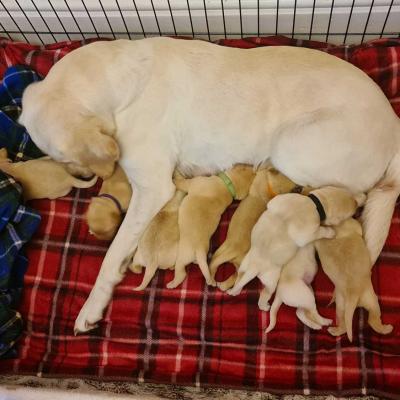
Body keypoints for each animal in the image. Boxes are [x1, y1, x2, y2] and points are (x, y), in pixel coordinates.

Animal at [227, 186, 364, 310]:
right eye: (348, 215)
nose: (356, 204)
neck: (314, 205)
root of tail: (254, 266)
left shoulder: (279, 200)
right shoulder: (307, 234)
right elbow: (320, 231)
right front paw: (330, 232)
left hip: (244, 266)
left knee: (240, 279)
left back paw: (235, 291)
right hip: (271, 280)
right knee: (264, 295)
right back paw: (265, 306)